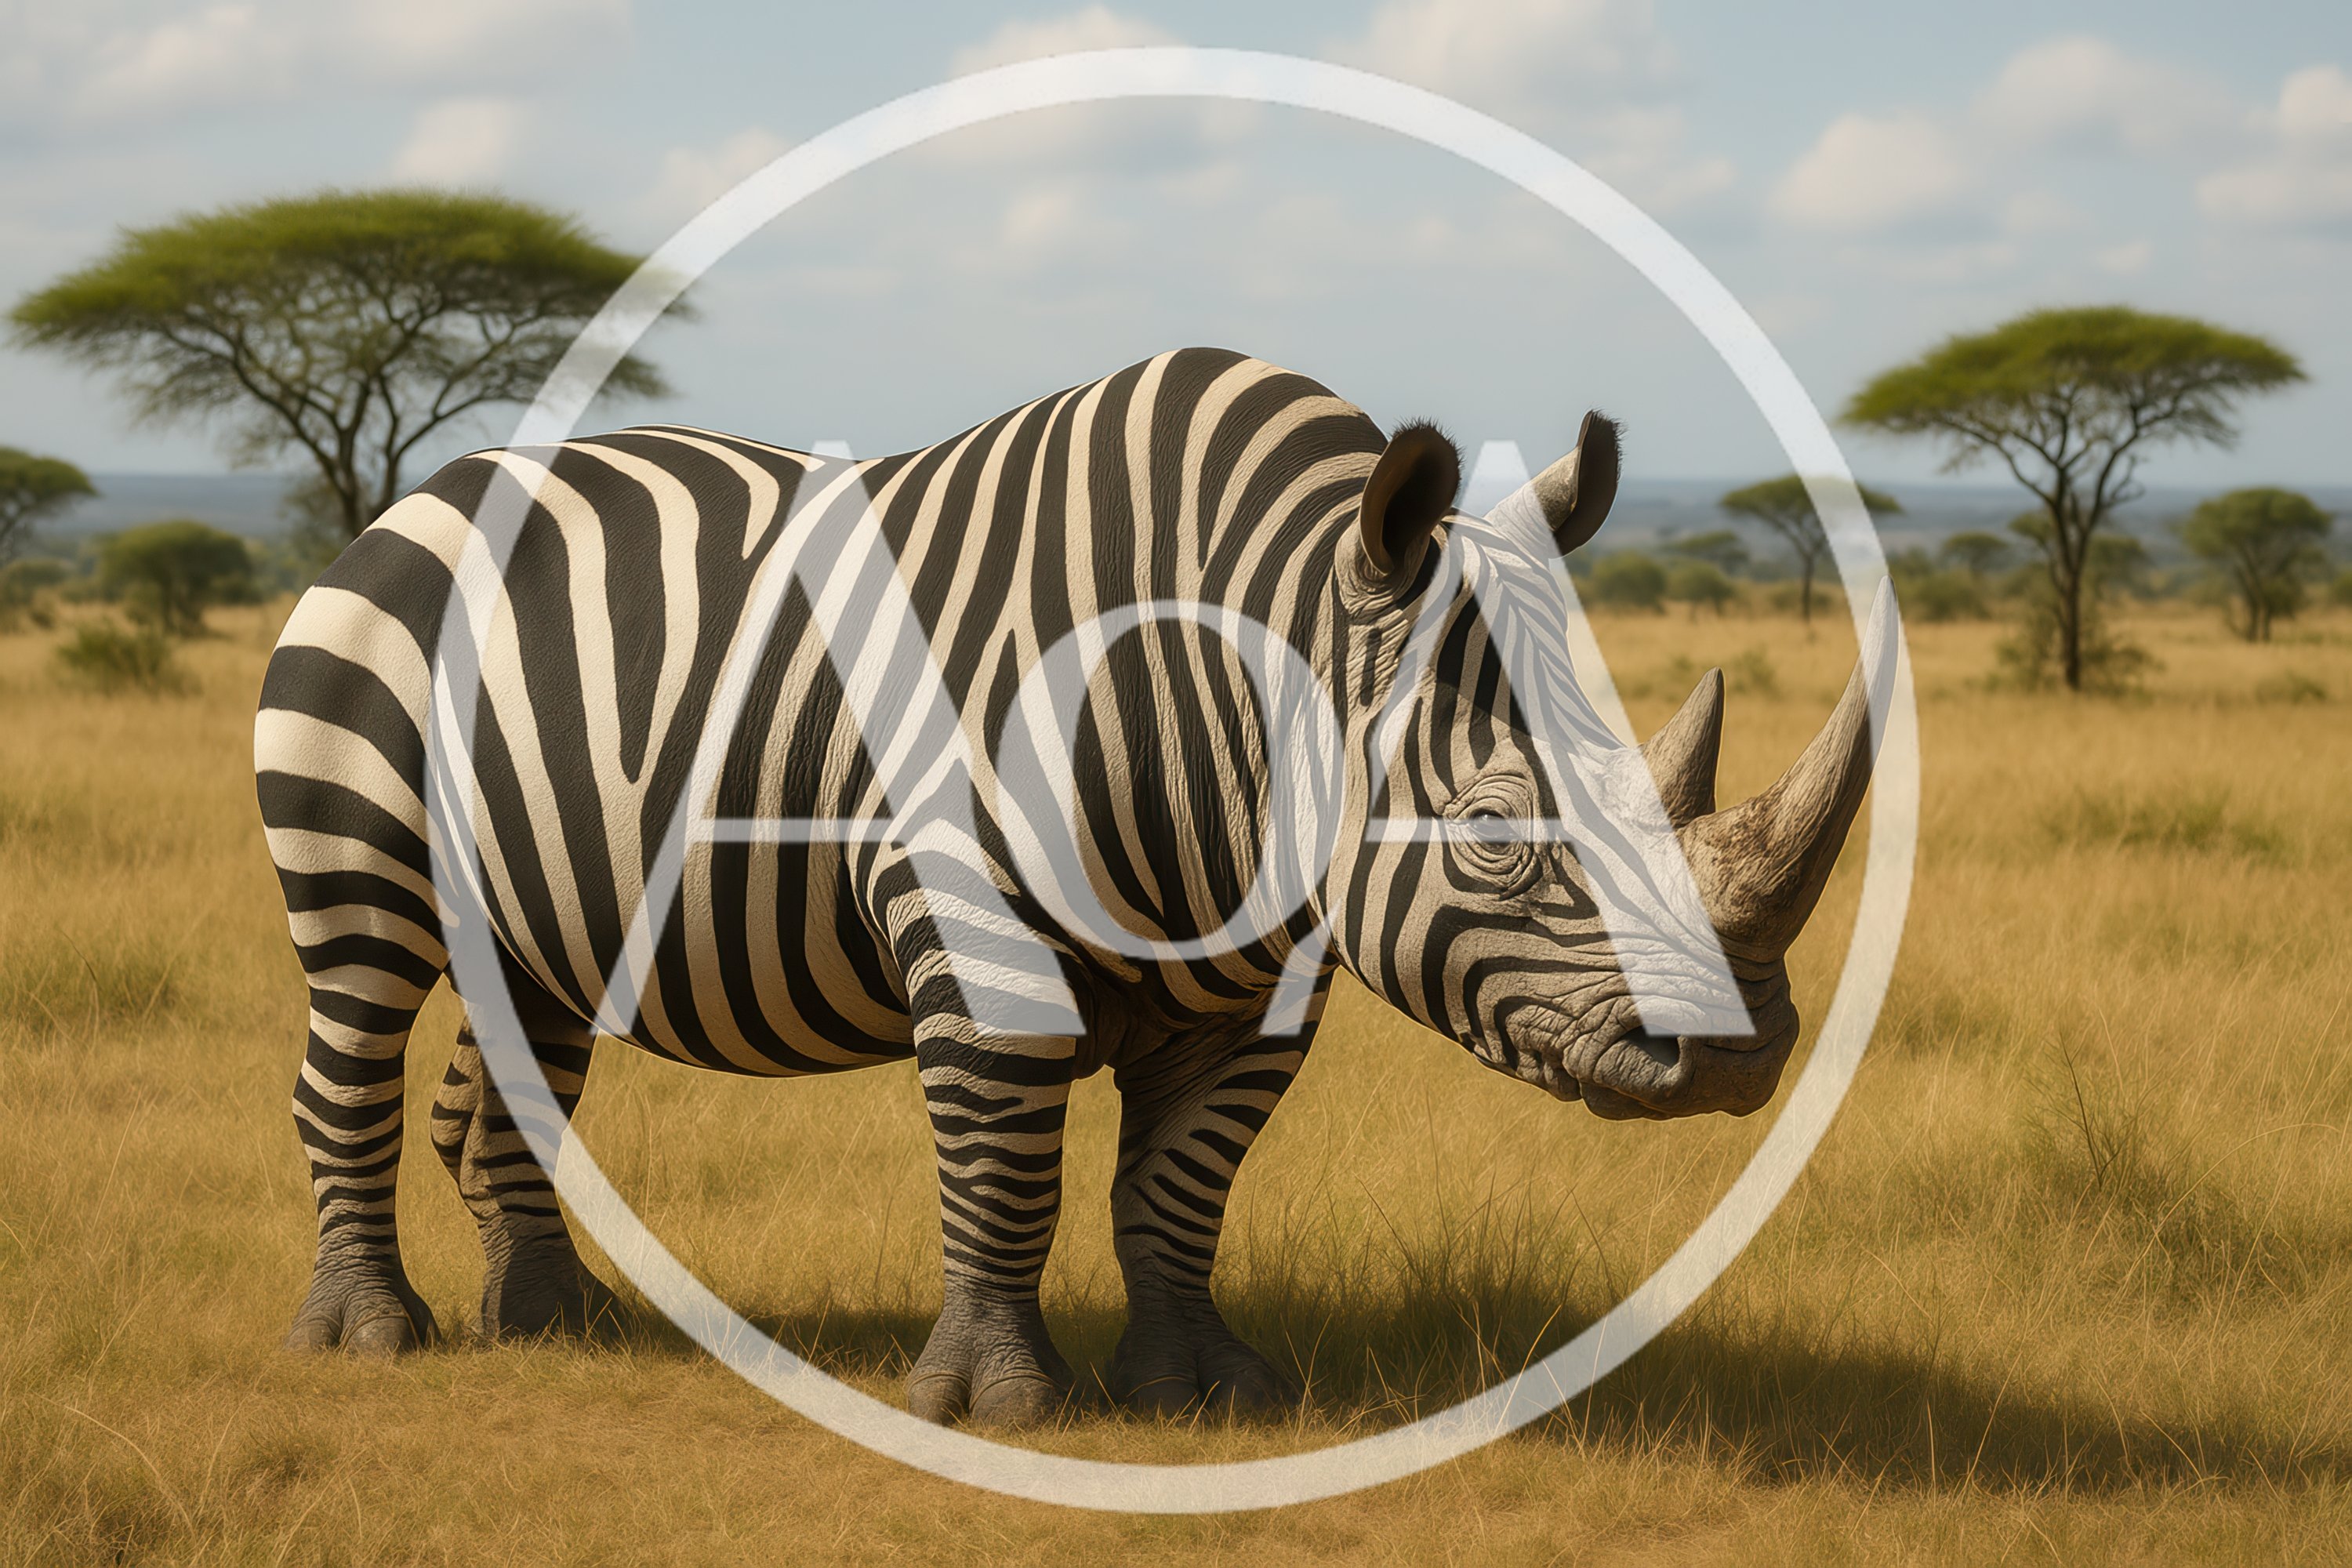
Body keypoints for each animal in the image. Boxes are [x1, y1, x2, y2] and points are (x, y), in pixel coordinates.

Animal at [256, 346, 1888, 1425]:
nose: (1739, 1058)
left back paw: (553, 1327)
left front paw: (1205, 1392)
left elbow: (1180, 1182)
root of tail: (414, 501)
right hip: (366, 695)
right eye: (1493, 835)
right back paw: (372, 1343)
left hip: (539, 868)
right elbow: (1006, 1163)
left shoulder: (1257, 976)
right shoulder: (972, 924)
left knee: (527, 1031)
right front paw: (996, 1407)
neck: (1248, 665)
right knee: (359, 999)